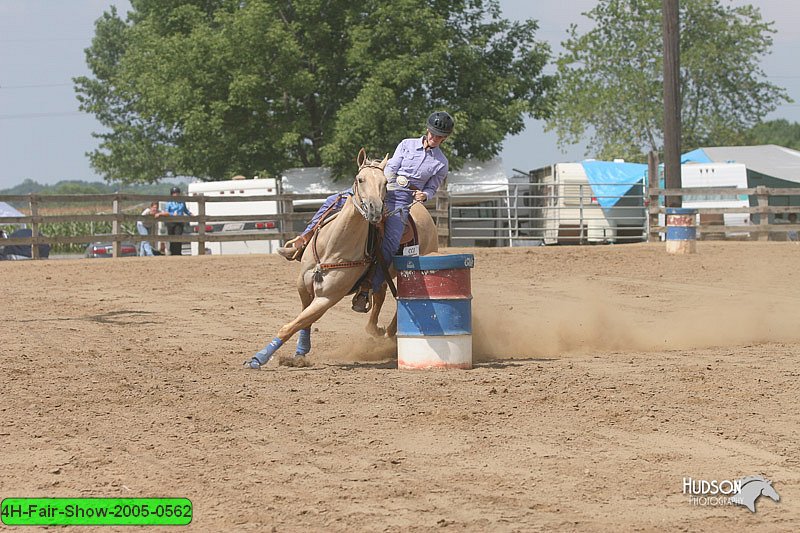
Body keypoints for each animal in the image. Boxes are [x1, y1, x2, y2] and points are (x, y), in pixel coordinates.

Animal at [247, 148, 390, 368]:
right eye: (360, 179)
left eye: (386, 183)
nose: (375, 210)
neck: (334, 246)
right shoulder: (303, 286)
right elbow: (304, 321)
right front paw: (300, 353)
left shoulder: (328, 297)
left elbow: (294, 324)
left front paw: (259, 357)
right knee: (380, 295)